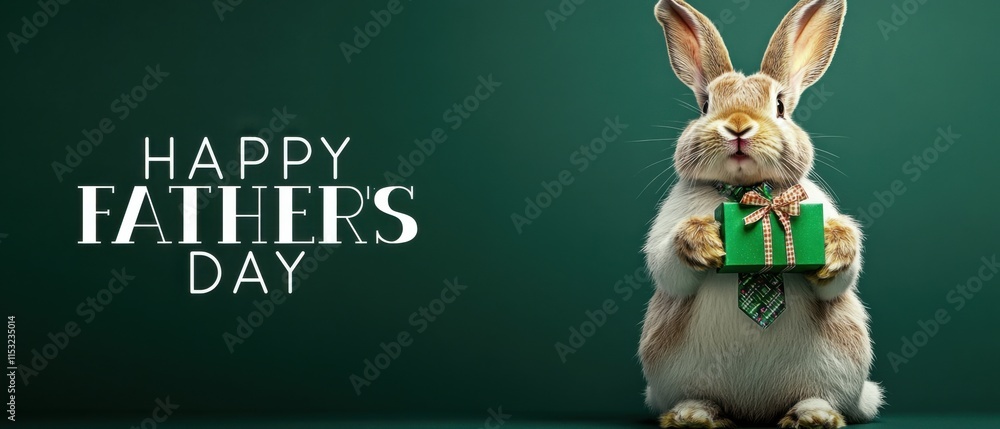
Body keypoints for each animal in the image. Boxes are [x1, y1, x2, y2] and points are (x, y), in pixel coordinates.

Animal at [639, 0, 883, 428]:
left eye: (780, 106)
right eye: (706, 105)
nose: (738, 126)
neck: (749, 190)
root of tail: (755, 408)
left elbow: (839, 280)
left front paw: (834, 246)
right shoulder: (668, 225)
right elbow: (667, 265)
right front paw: (702, 241)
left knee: (818, 396)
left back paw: (815, 416)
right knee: (698, 397)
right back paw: (693, 415)